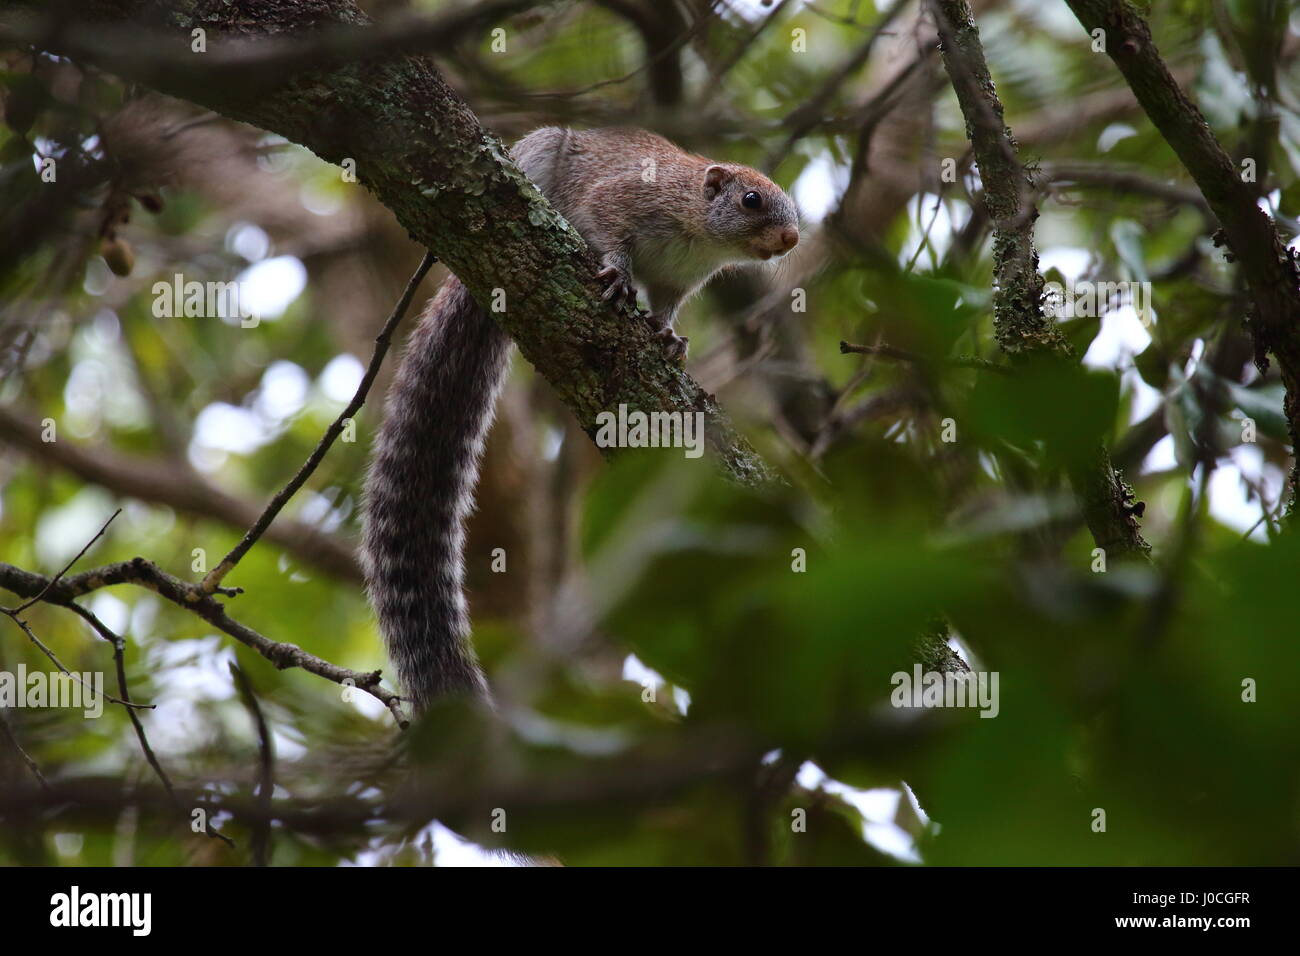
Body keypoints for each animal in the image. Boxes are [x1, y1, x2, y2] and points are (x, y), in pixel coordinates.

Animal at [361, 125, 795, 712]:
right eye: (751, 200)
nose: (791, 238)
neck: (698, 230)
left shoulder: (679, 280)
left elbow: (666, 307)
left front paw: (669, 338)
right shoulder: (624, 200)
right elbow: (609, 231)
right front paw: (619, 277)